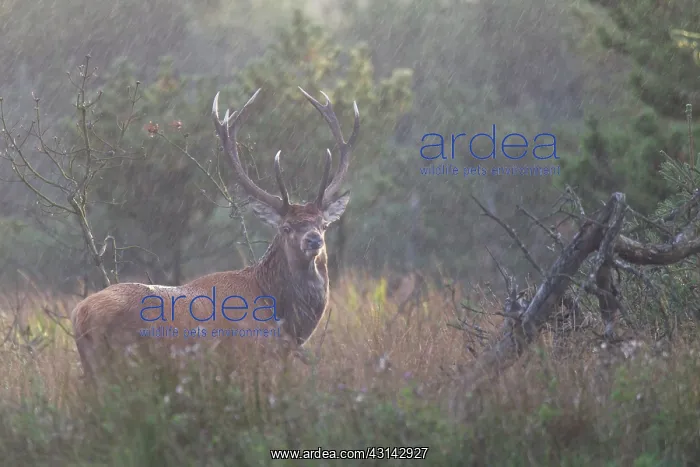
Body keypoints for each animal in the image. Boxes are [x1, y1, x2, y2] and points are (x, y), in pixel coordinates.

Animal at [70, 87, 360, 382]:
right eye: (286, 227)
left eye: (323, 224)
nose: (314, 240)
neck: (283, 322)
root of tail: (79, 315)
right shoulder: (248, 357)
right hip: (122, 362)